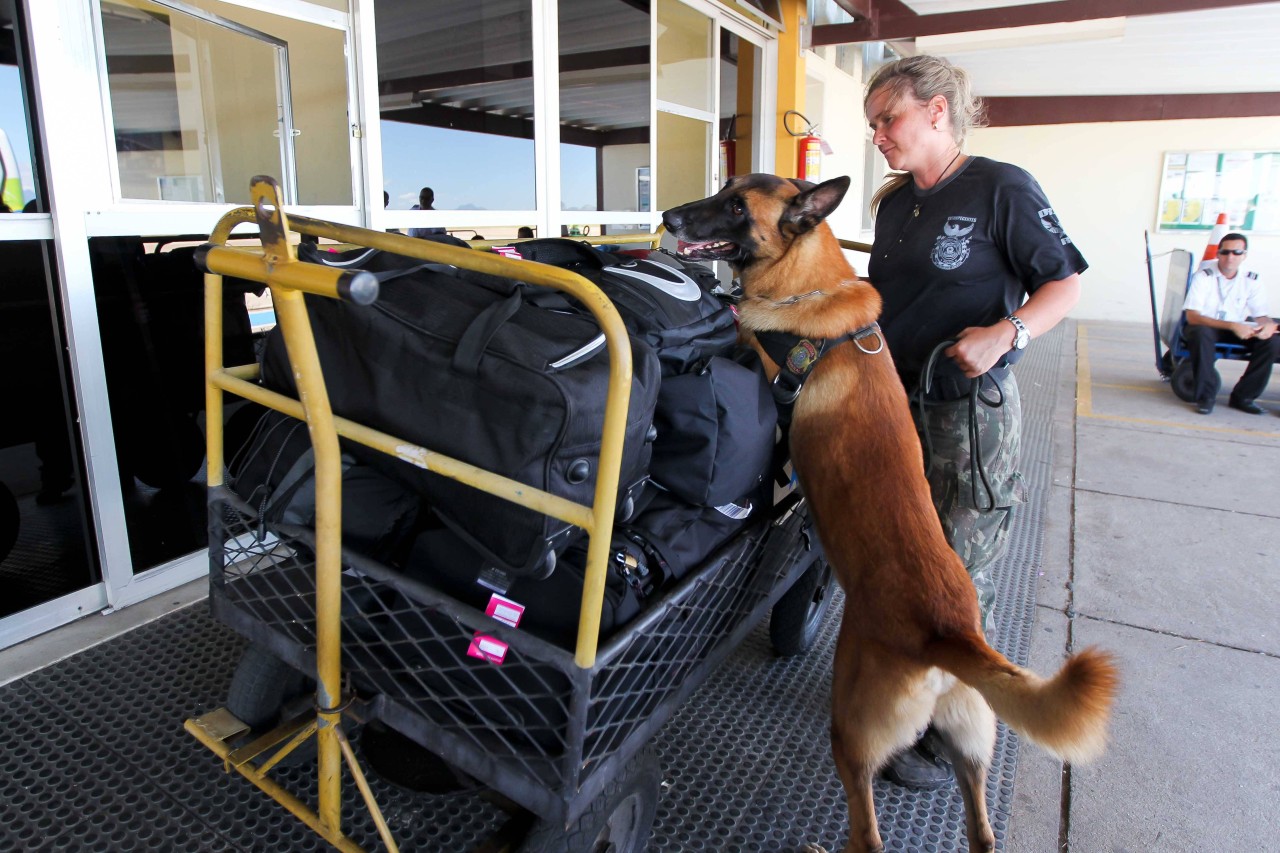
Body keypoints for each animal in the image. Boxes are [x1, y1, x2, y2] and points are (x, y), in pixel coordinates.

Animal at [665, 174, 1116, 850]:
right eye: (723, 189)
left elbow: (742, 332)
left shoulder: (761, 352)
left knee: (869, 833)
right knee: (981, 832)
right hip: (969, 749)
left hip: (851, 735)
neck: (808, 282)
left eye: (736, 207)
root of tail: (950, 635)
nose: (667, 217)